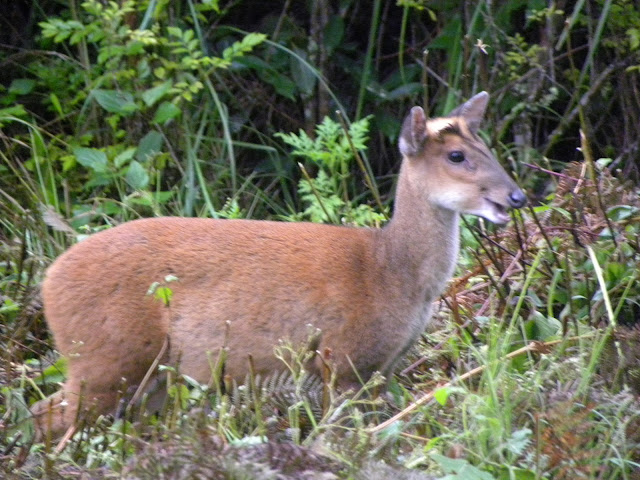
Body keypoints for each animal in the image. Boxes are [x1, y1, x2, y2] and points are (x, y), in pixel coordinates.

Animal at [31, 91, 524, 438]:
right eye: (456, 156)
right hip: (106, 357)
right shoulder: (342, 360)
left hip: (148, 376)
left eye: (487, 147)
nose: (516, 196)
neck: (389, 272)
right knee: (46, 417)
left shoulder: (380, 368)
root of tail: (48, 279)